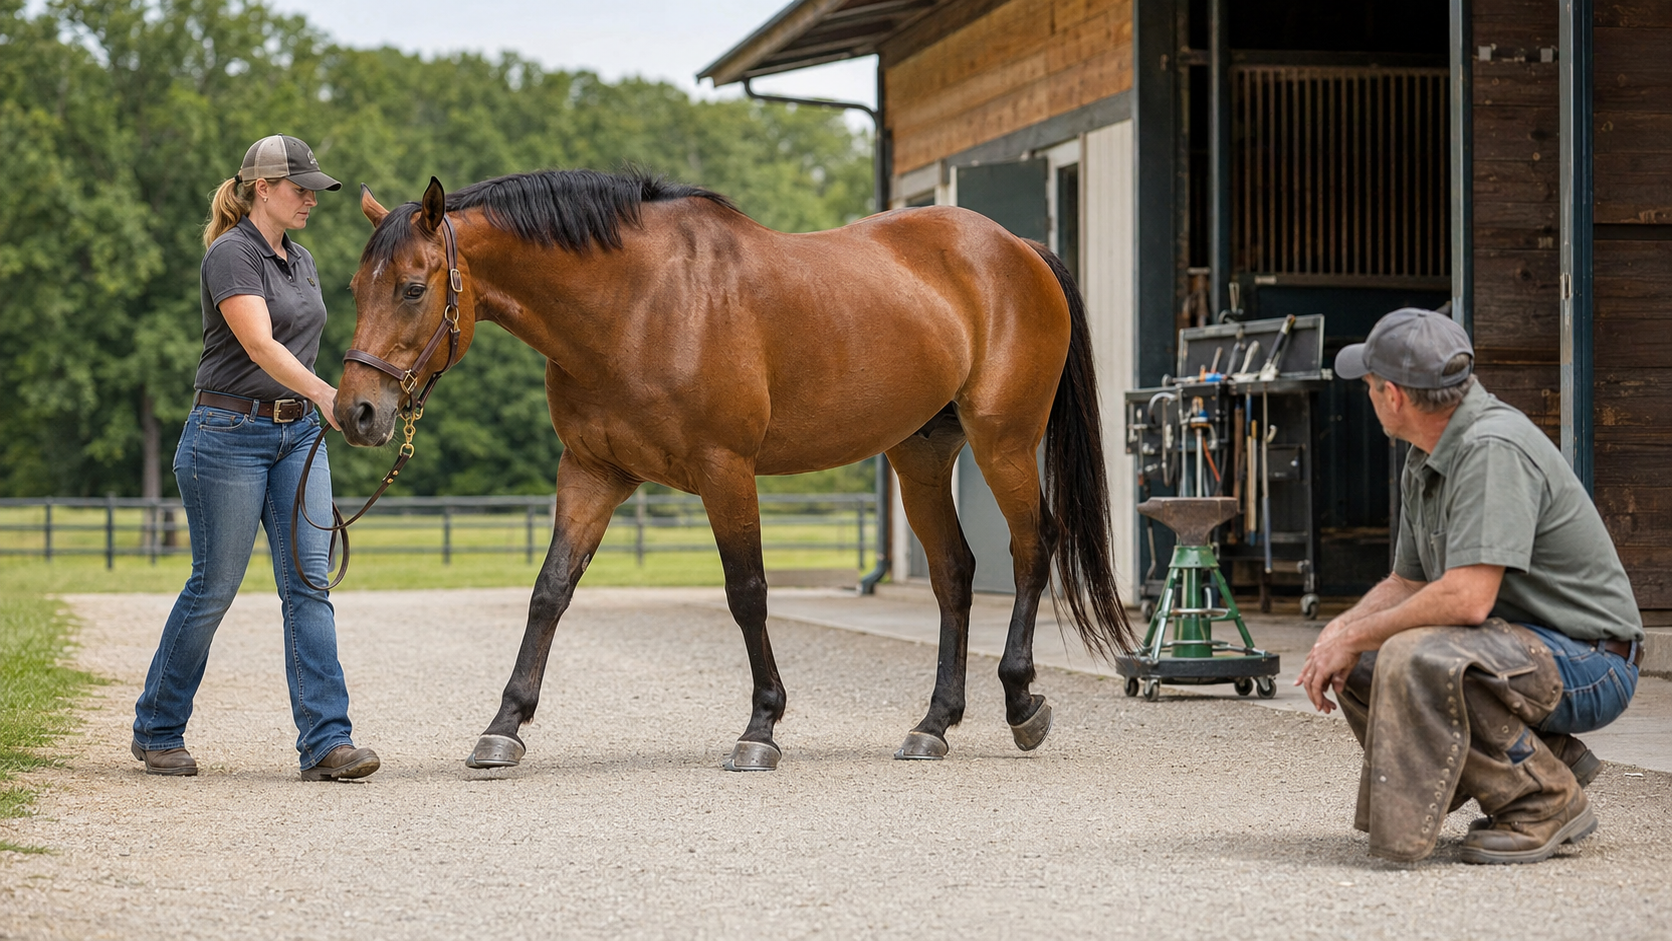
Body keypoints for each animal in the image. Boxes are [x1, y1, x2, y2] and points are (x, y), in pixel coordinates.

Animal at [339, 169, 1133, 771]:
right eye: (354, 287)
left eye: (413, 287)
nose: (357, 412)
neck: (637, 303)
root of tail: (1018, 249)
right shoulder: (591, 473)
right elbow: (549, 592)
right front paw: (504, 725)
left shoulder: (725, 470)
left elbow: (747, 592)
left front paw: (761, 728)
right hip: (921, 455)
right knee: (953, 573)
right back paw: (933, 724)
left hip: (1004, 442)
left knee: (1032, 548)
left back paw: (1022, 703)